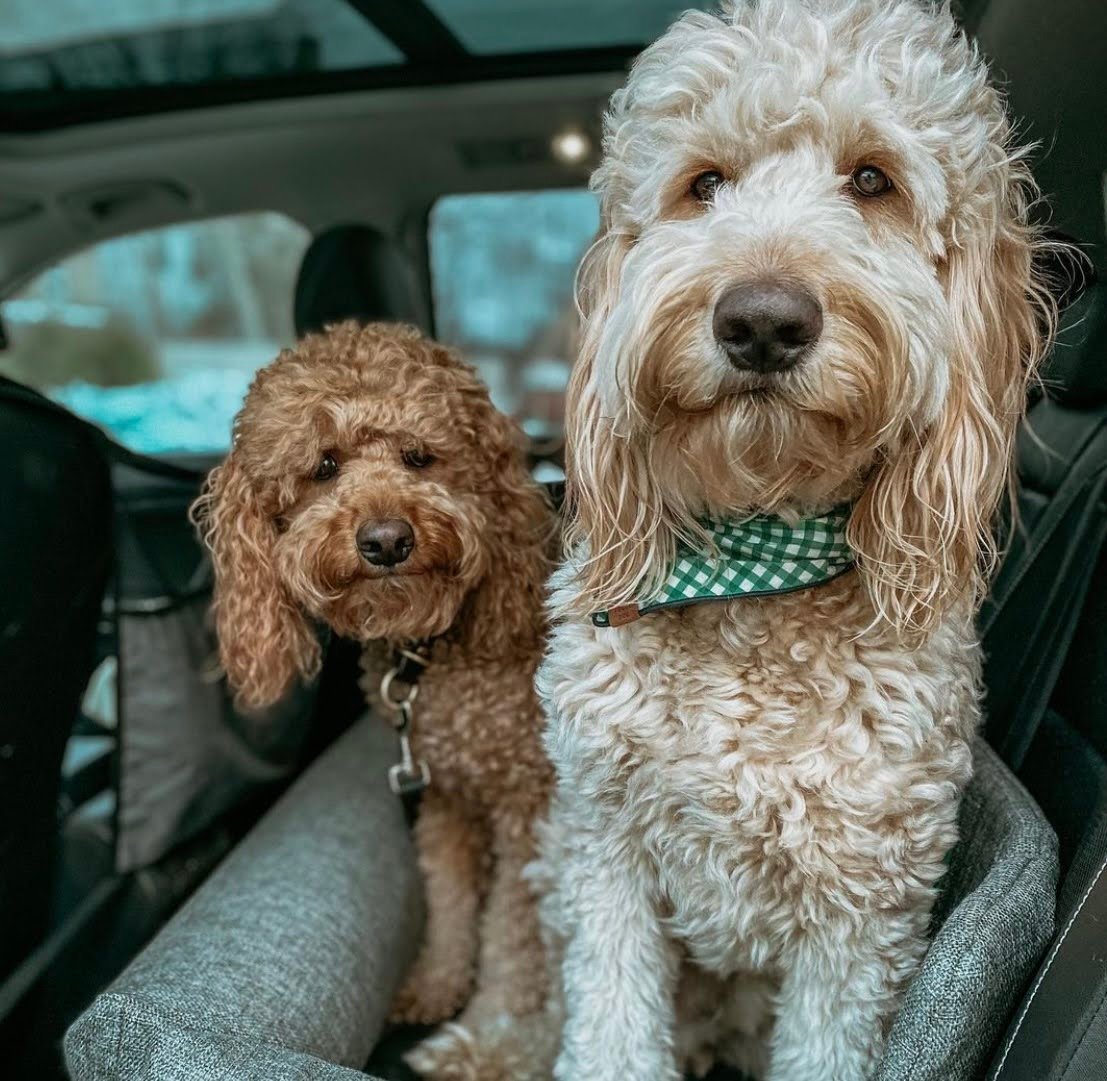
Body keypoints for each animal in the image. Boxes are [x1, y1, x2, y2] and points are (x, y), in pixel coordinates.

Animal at [195, 323, 557, 1079]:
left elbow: (512, 935)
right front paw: (436, 982)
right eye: (323, 466)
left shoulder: (528, 803)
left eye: (420, 456)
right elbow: (450, 901)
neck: (431, 653)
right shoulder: (446, 795)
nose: (388, 539)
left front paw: (488, 1024)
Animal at [535, 2, 1053, 1079]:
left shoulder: (865, 915)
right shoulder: (605, 851)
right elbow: (610, 1027)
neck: (750, 570)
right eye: (704, 183)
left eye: (872, 180)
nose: (762, 320)